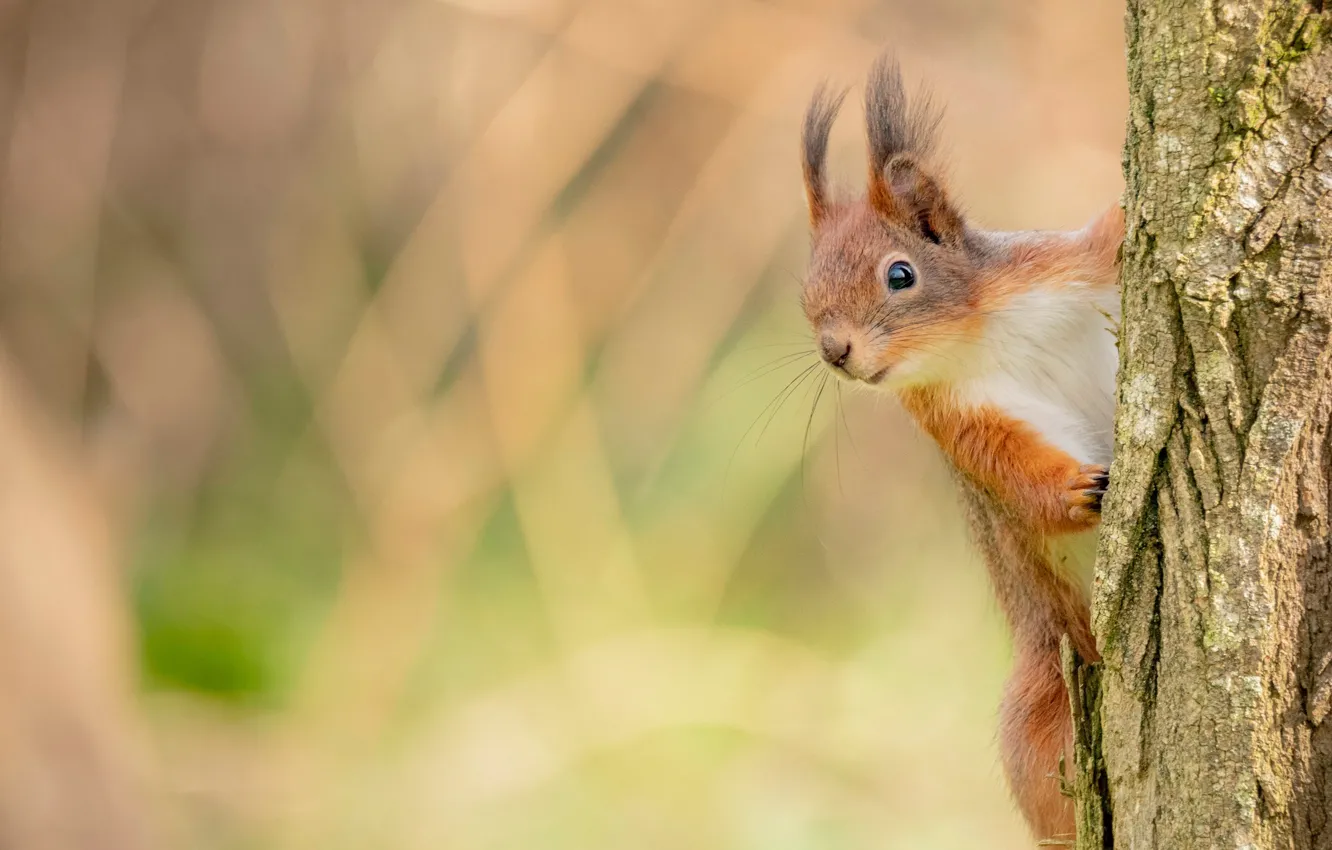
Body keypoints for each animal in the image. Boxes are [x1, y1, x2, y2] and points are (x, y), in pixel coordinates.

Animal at [799, 54, 1124, 847]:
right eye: (806, 291)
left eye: (900, 274)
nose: (835, 352)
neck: (977, 333)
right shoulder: (961, 420)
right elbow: (1012, 471)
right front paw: (1077, 490)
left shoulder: (1060, 267)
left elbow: (1107, 238)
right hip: (1040, 716)